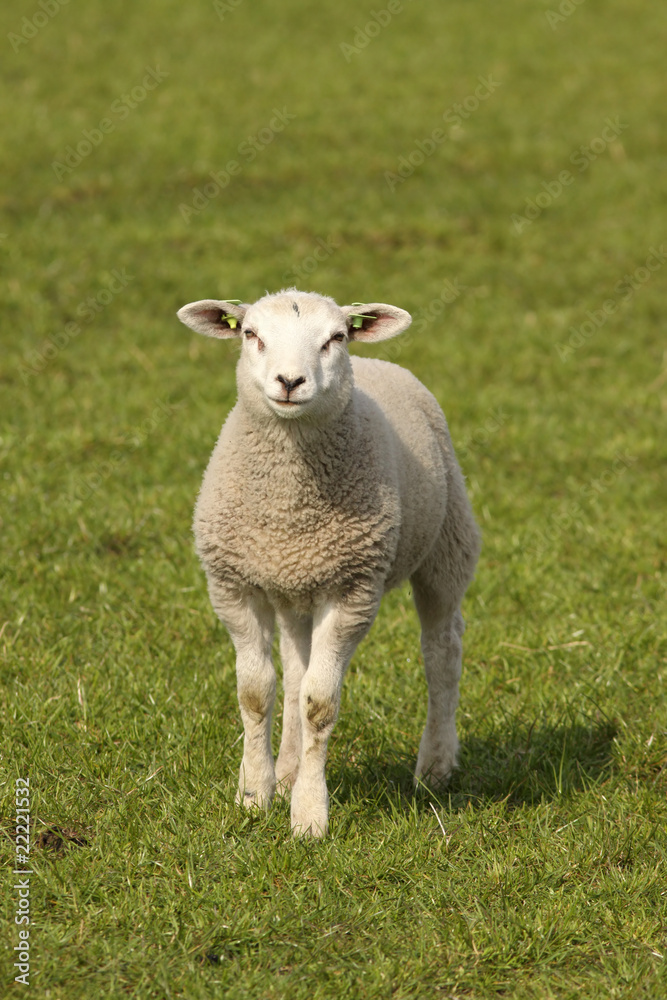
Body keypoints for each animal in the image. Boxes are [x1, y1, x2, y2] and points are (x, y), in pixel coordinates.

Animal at [177, 290, 480, 836]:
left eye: (335, 337)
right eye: (250, 334)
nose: (290, 382)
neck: (289, 507)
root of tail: (378, 361)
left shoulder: (351, 590)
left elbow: (318, 703)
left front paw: (308, 817)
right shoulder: (234, 586)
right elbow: (257, 692)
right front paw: (256, 795)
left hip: (447, 546)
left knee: (442, 649)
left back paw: (435, 767)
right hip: (297, 588)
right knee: (296, 669)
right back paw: (289, 769)